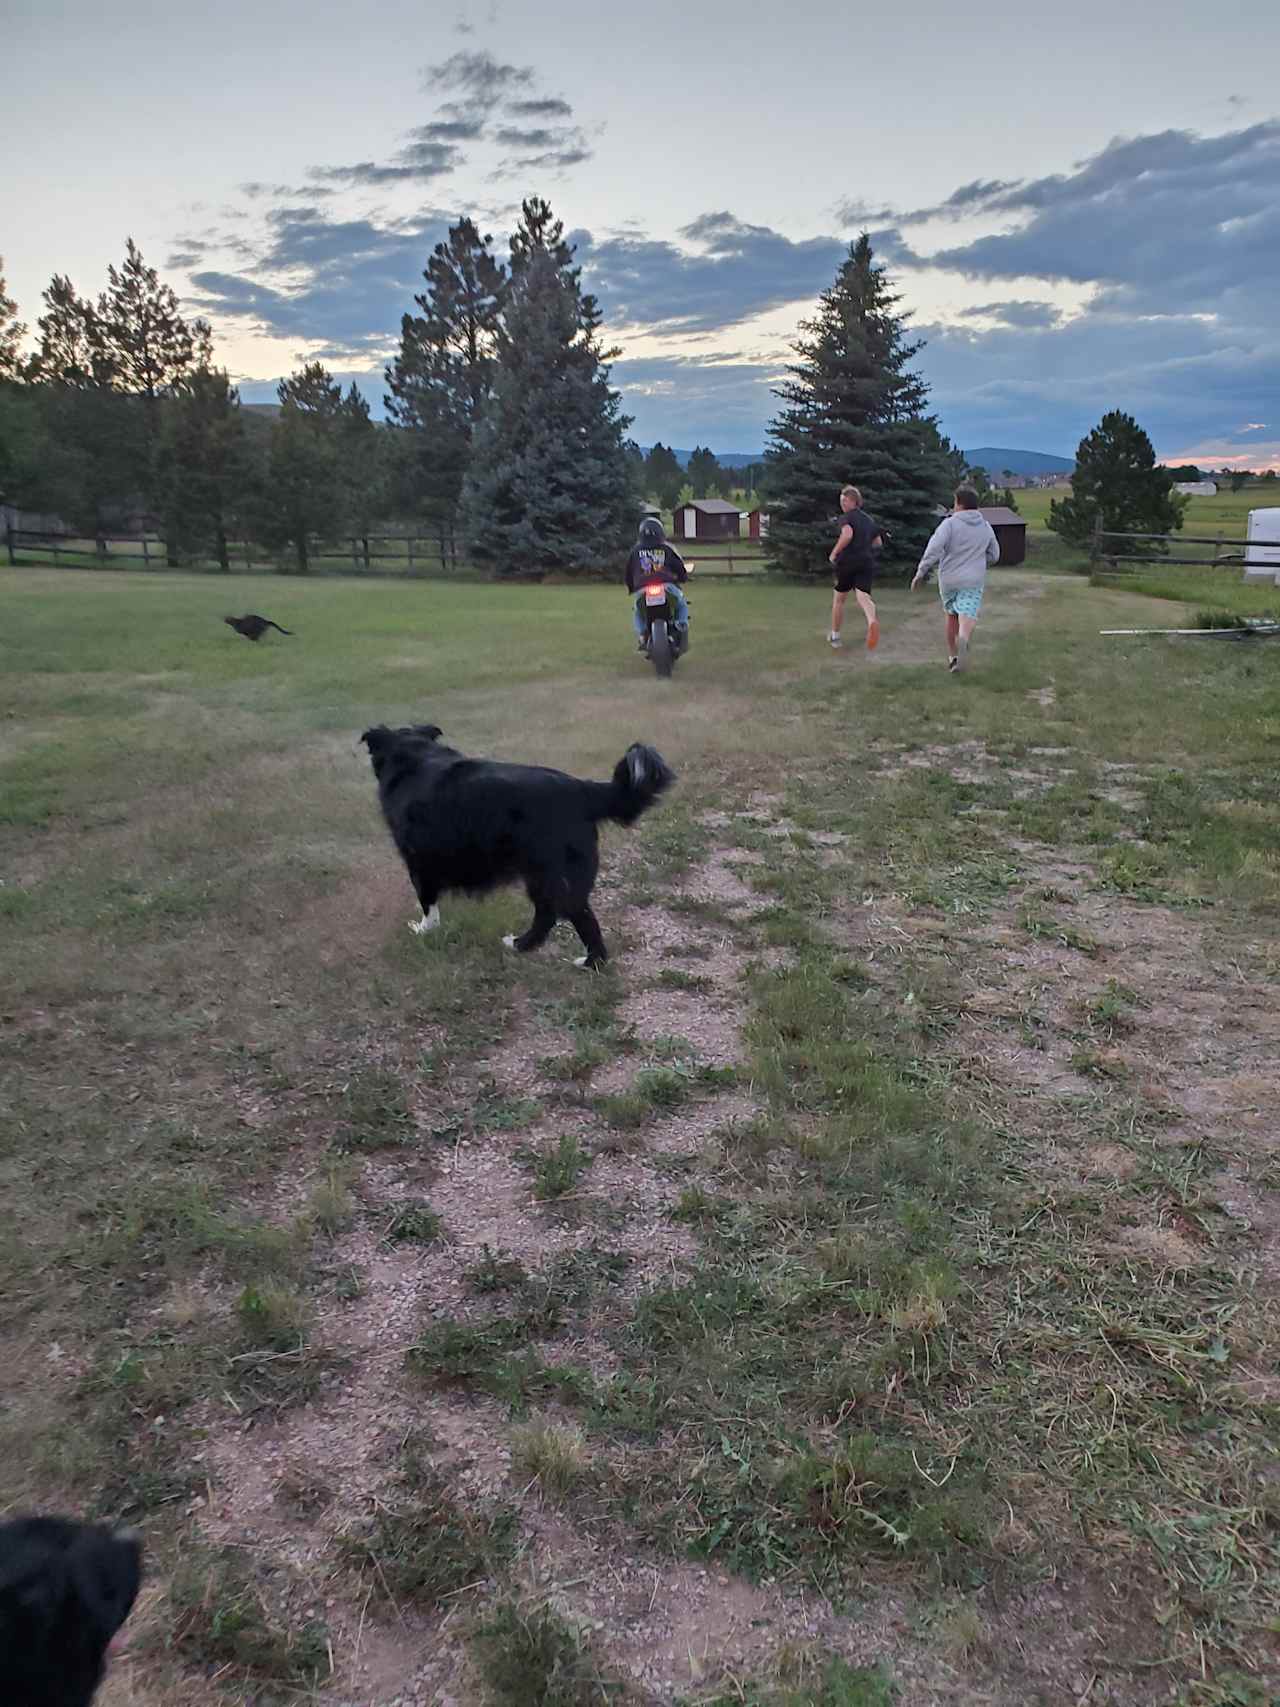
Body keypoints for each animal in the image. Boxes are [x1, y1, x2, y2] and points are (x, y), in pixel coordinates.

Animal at [360, 724, 675, 968]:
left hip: (549, 873)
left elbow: (427, 902)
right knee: (554, 914)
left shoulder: (418, 861)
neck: (414, 757)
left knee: (568, 917)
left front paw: (423, 930)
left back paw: (578, 959)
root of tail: (582, 789)